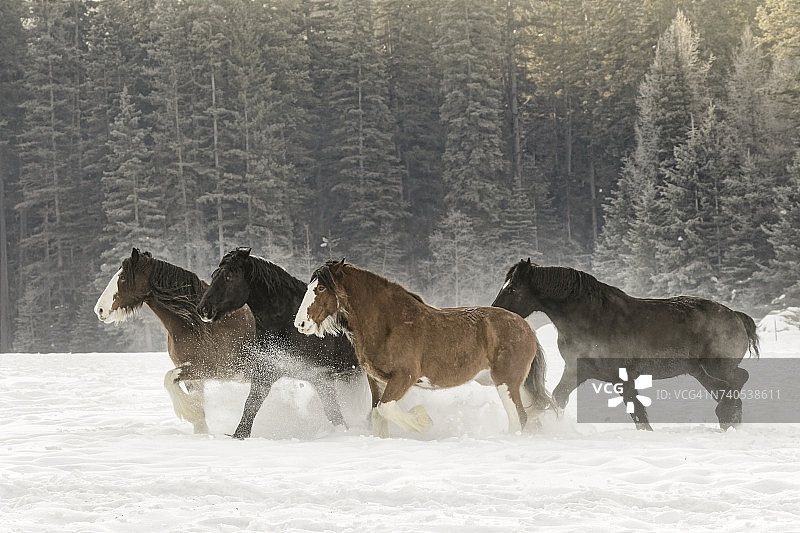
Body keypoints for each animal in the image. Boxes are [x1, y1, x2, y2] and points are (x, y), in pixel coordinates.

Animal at [94, 248, 256, 434]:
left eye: (122, 277)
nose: (99, 310)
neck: (197, 324)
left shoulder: (212, 369)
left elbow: (169, 378)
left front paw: (189, 412)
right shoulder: (193, 376)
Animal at [196, 248, 362, 439]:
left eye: (229, 276)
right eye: (214, 274)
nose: (203, 309)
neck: (288, 322)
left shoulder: (322, 377)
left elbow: (334, 412)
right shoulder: (266, 370)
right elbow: (251, 404)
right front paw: (239, 435)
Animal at [293, 259, 553, 437]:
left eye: (321, 288)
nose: (300, 323)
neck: (390, 324)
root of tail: (527, 328)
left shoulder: (404, 377)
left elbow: (387, 408)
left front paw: (423, 422)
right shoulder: (376, 380)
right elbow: (377, 414)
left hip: (506, 382)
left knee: (519, 417)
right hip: (515, 383)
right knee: (530, 413)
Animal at [491, 259, 760, 430]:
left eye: (513, 289)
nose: (495, 312)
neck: (592, 317)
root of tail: (736, 316)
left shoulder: (623, 376)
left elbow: (637, 411)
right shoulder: (578, 370)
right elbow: (559, 397)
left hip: (716, 368)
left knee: (738, 381)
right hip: (701, 373)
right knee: (727, 390)